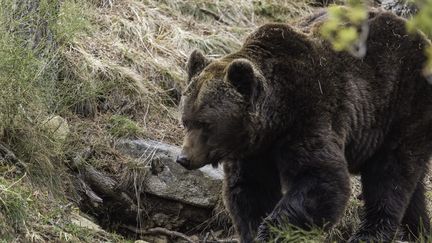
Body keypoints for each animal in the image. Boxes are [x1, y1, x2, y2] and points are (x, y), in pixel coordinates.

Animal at [176, 8, 432, 243]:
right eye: (185, 121)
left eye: (206, 124)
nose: (183, 158)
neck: (275, 118)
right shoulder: (254, 151)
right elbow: (250, 190)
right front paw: (254, 230)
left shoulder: (309, 115)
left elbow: (321, 179)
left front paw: (272, 231)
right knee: (412, 185)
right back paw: (419, 230)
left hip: (402, 103)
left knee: (391, 173)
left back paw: (370, 233)